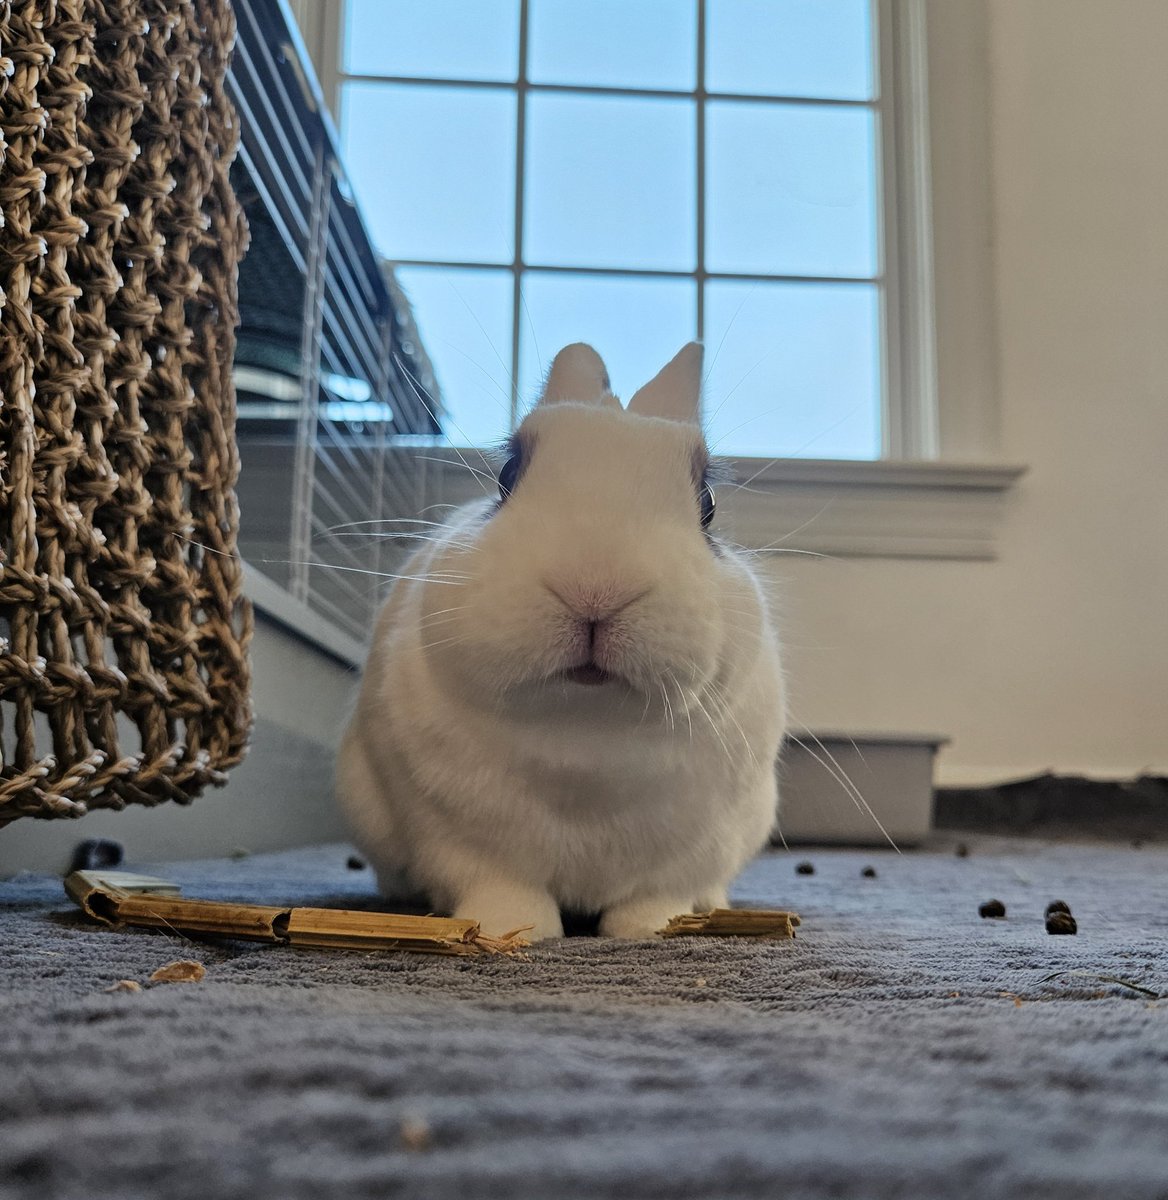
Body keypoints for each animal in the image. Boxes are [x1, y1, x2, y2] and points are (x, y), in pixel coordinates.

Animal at [336, 341, 786, 940]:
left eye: (708, 502)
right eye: (507, 475)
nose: (595, 586)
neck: (583, 737)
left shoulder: (688, 855)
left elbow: (655, 897)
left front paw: (648, 929)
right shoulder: (453, 840)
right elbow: (500, 887)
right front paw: (517, 928)